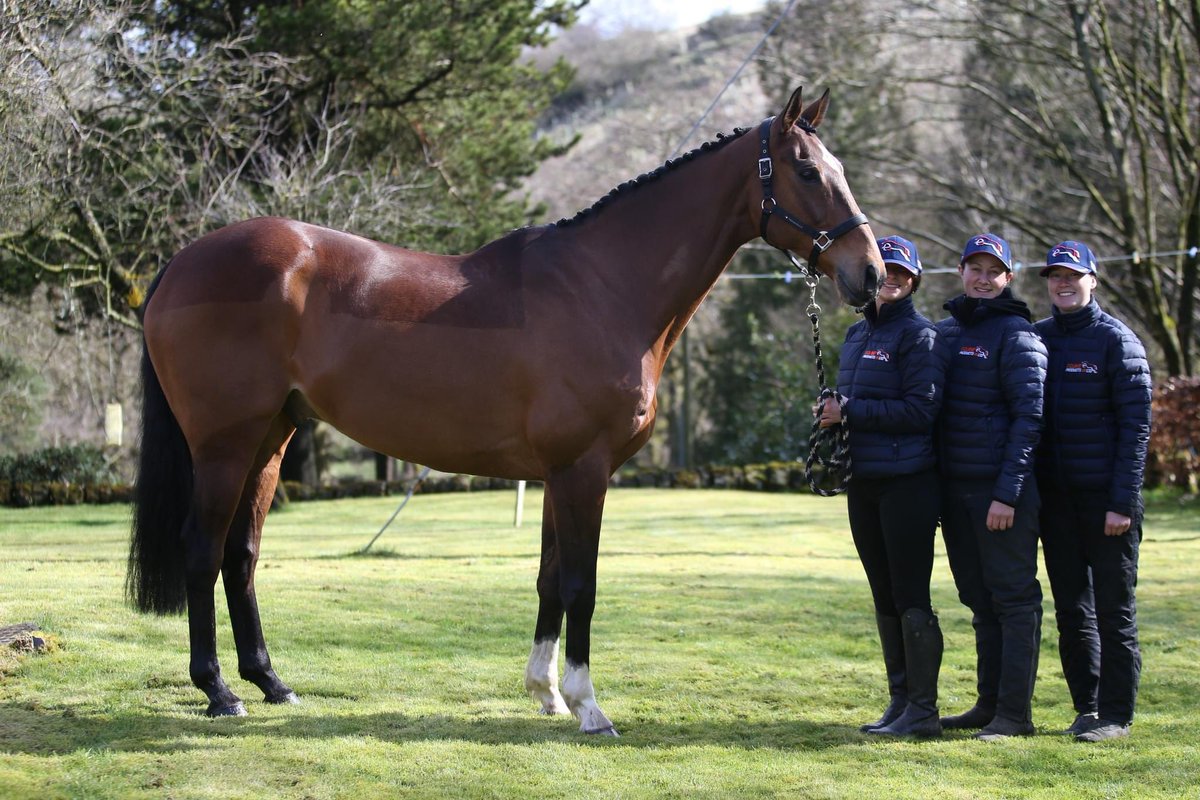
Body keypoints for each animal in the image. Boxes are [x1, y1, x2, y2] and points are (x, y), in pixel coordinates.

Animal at [129, 86, 883, 734]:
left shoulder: (556, 473)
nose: (871, 274)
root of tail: (181, 262)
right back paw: (218, 691)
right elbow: (581, 582)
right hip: (224, 445)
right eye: (809, 171)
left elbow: (549, 579)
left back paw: (270, 682)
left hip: (271, 438)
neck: (602, 285)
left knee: (241, 554)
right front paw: (589, 706)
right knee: (202, 549)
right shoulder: (585, 470)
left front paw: (545, 691)